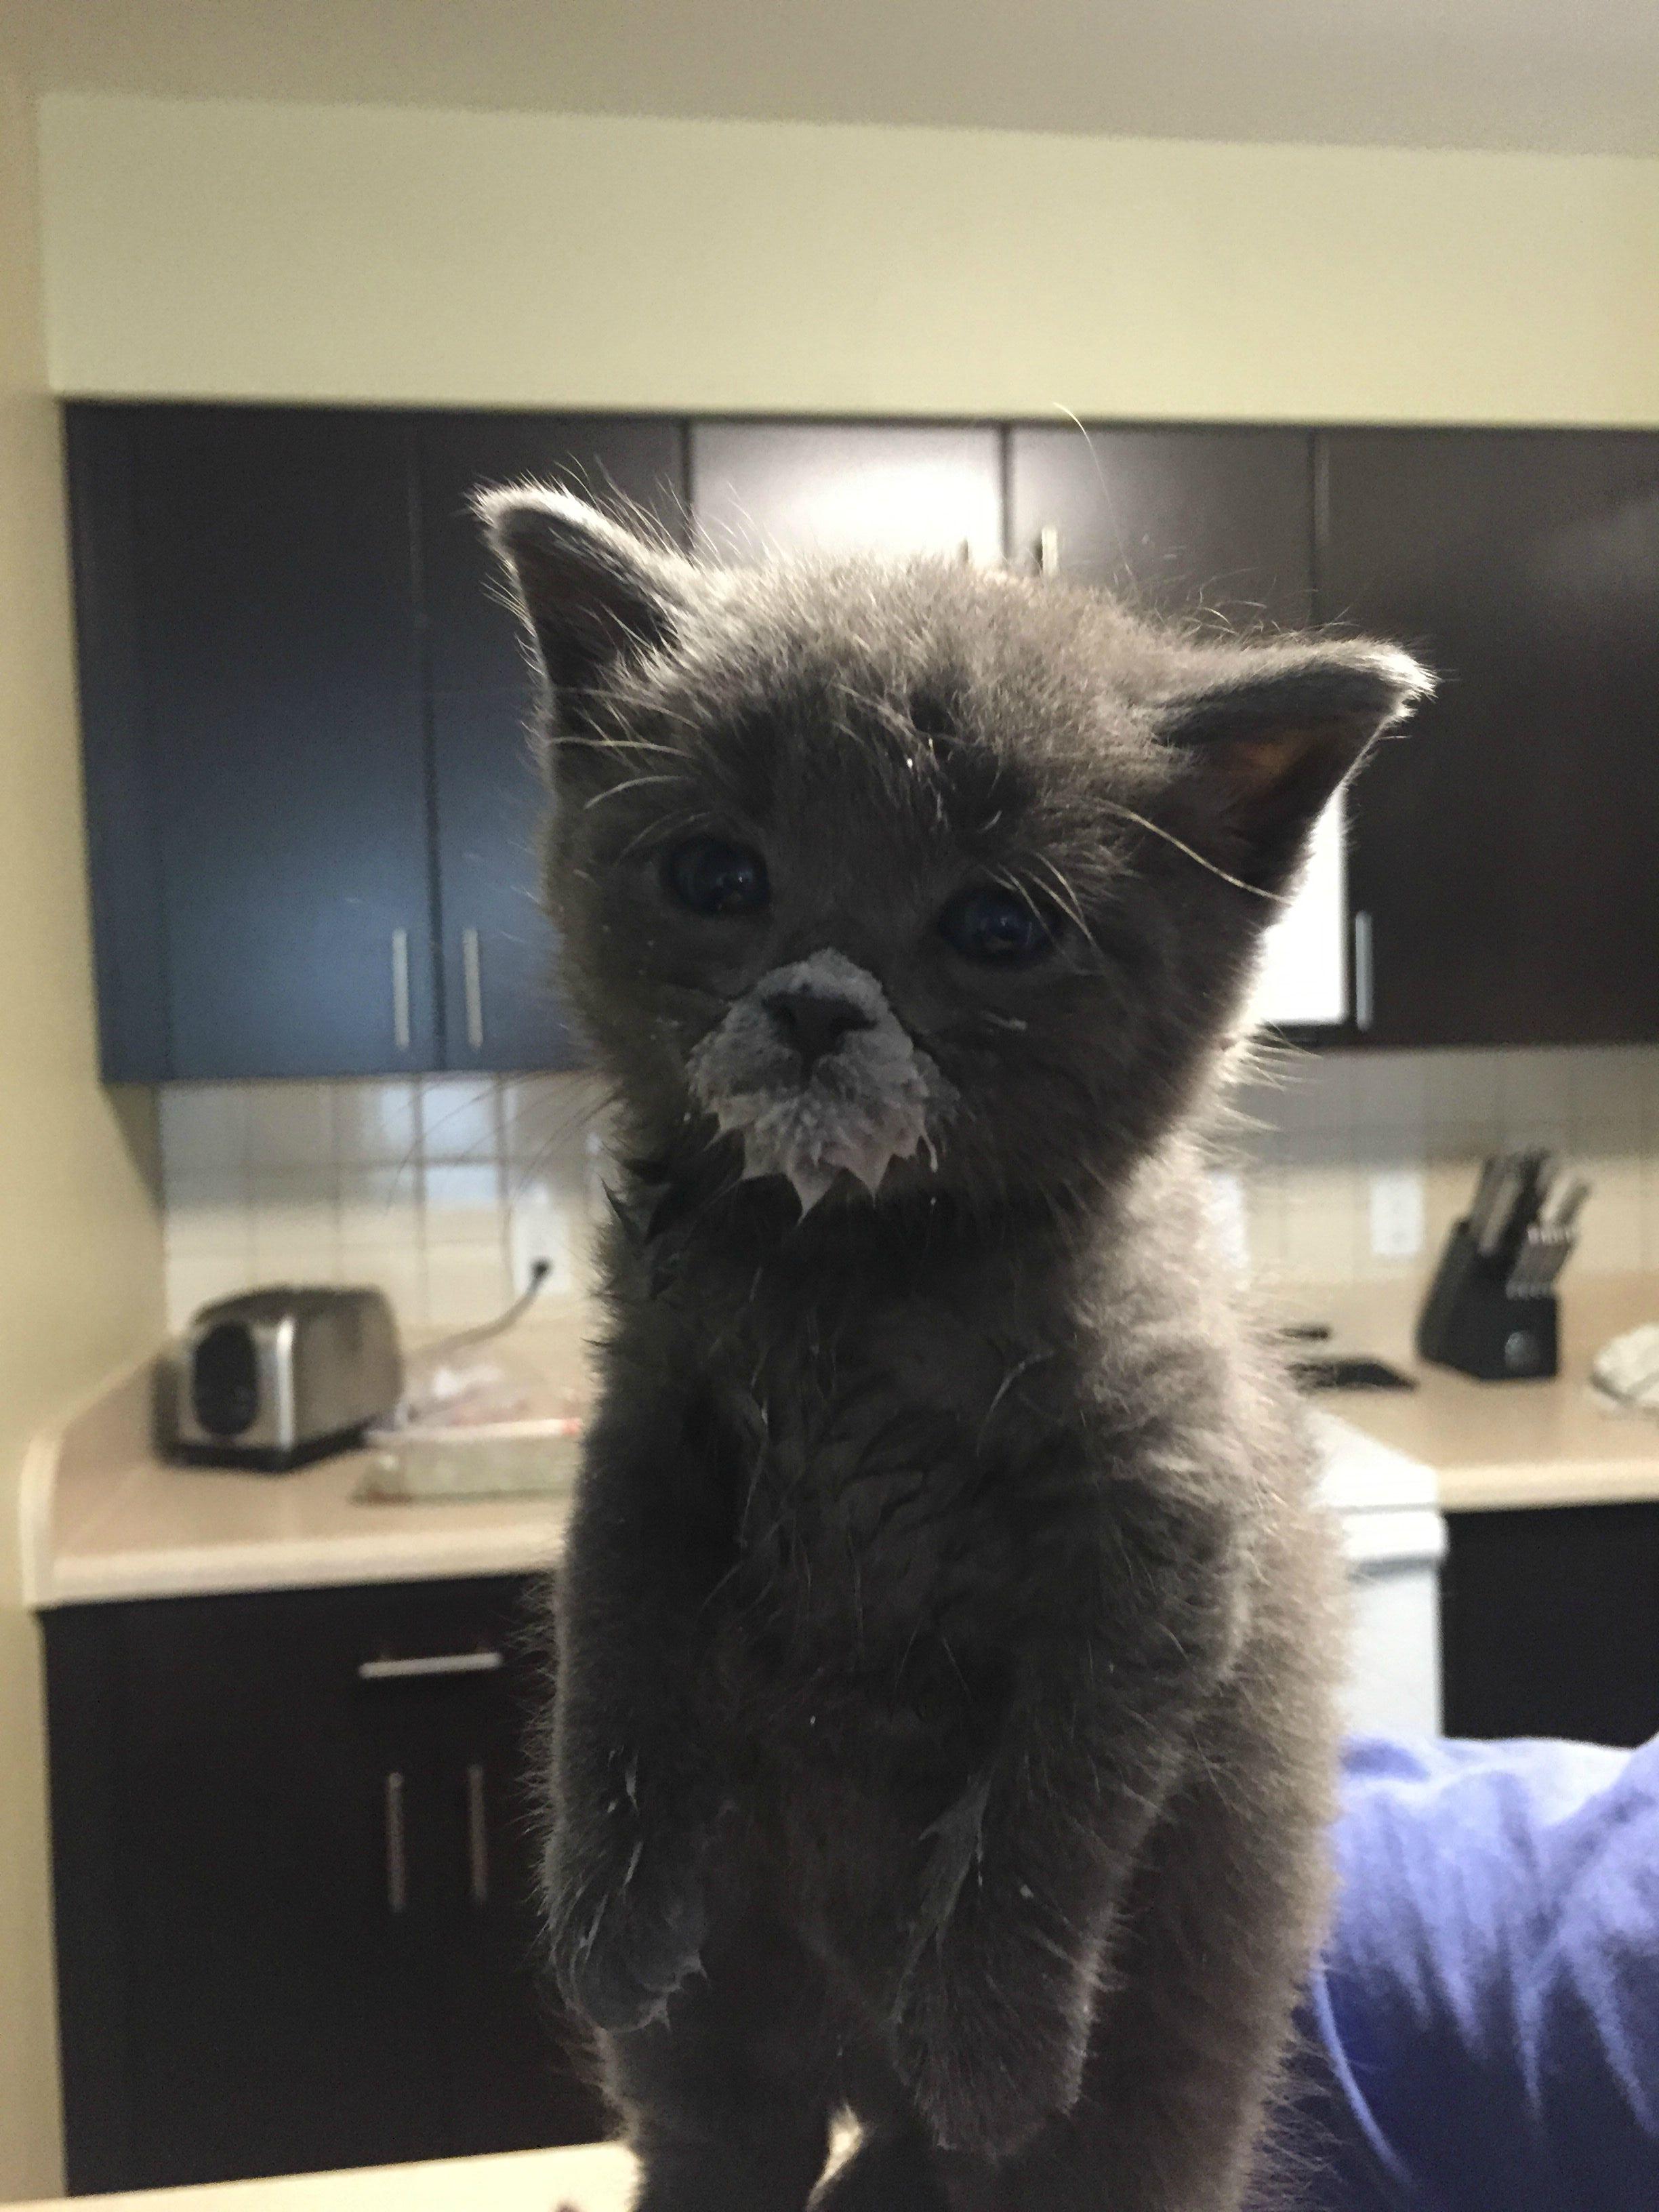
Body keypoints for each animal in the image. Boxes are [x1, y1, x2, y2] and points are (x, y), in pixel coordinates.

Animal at [480, 489, 1433, 2212]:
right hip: (734, 2036)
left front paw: (989, 2033)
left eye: (997, 924)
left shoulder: (1162, 1529)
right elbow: (613, 1653)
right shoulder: (650, 1431)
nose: (813, 1004)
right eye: (715, 873)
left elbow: (1053, 1803)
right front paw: (603, 1919)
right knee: (723, 2132)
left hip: (1156, 2093)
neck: (857, 1274)